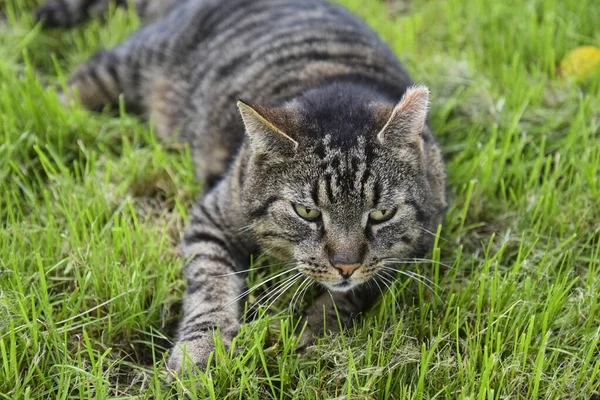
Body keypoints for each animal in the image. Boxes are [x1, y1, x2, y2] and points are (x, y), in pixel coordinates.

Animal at [32, 0, 446, 372]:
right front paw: (200, 351)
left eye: (382, 213)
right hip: (132, 63)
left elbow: (363, 287)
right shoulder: (210, 219)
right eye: (307, 212)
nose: (346, 265)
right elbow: (211, 288)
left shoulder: (417, 245)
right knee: (84, 76)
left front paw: (317, 331)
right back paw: (55, 119)